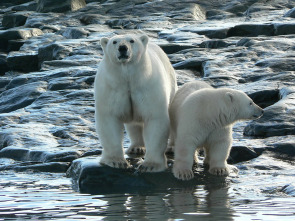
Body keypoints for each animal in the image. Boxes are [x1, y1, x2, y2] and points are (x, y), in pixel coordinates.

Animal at [96, 33, 177, 173]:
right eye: (114, 42)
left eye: (132, 40)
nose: (123, 48)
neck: (128, 78)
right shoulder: (111, 88)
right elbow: (109, 120)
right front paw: (116, 162)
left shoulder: (148, 86)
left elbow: (155, 119)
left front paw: (150, 165)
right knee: (134, 124)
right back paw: (136, 147)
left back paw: (171, 147)